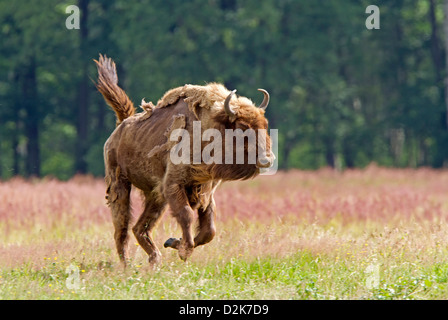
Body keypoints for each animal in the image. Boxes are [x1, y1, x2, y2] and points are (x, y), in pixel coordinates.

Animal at [95, 54, 272, 264]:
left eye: (265, 124)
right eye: (243, 127)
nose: (267, 158)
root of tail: (121, 126)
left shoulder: (206, 189)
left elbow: (209, 229)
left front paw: (173, 242)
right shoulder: (174, 184)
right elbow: (186, 215)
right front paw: (183, 250)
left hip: (156, 196)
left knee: (139, 228)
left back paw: (155, 259)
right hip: (120, 185)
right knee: (122, 228)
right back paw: (128, 264)